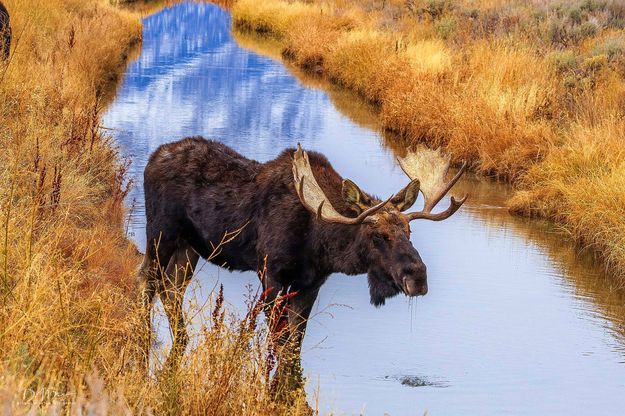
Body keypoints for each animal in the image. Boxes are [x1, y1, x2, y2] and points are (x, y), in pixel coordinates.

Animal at [139, 136, 466, 390]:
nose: (418, 277)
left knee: (171, 287)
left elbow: (295, 344)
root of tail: (152, 158)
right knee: (148, 278)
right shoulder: (270, 274)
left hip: (189, 248)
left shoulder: (311, 284)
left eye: (409, 232)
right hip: (162, 232)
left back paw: (181, 337)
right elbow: (280, 342)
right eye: (377, 236)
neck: (320, 241)